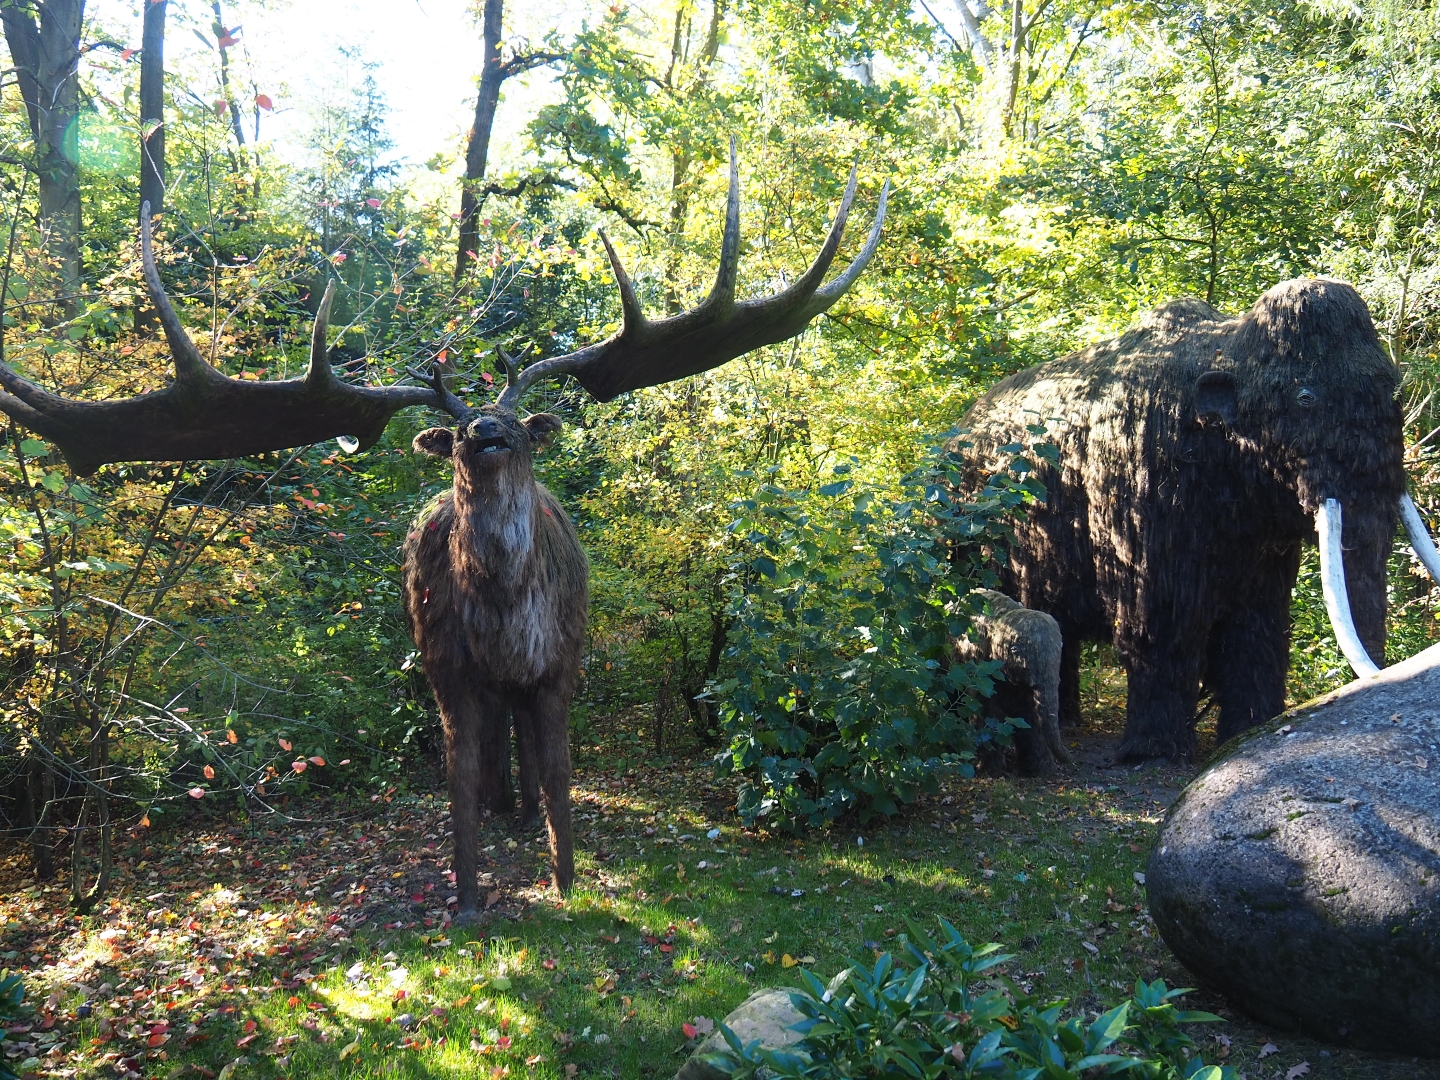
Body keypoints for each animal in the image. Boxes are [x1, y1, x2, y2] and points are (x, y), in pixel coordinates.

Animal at [0, 143, 887, 917]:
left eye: (516, 425)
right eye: (456, 427)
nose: (486, 430)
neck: (507, 618)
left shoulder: (563, 665)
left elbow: (561, 775)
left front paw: (566, 880)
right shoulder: (448, 672)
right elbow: (457, 786)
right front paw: (467, 898)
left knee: (523, 752)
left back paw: (522, 816)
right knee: (491, 751)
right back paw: (502, 812)